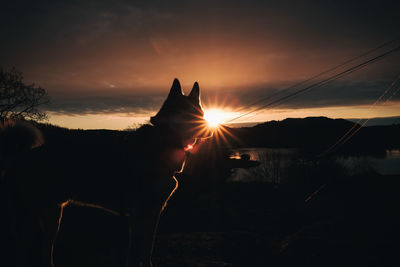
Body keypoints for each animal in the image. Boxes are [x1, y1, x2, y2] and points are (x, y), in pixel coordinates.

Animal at [2, 79, 209, 267]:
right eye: (191, 114)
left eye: (200, 113)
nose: (208, 129)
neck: (165, 140)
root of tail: (20, 155)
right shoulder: (138, 215)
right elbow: (134, 255)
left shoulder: (154, 212)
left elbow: (147, 251)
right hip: (28, 217)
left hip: (53, 216)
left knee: (45, 251)